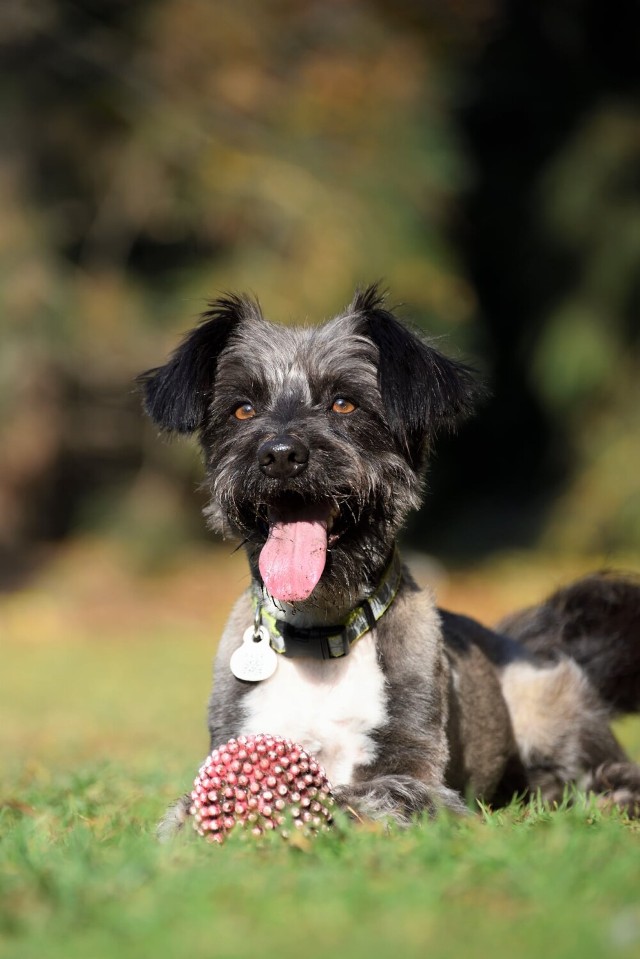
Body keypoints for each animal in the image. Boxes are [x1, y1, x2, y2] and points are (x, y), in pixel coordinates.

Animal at [140, 282, 640, 836]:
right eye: (243, 410)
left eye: (344, 403)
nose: (280, 454)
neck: (319, 636)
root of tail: (521, 643)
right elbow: (182, 813)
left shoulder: (417, 770)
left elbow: (374, 792)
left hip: (553, 715)